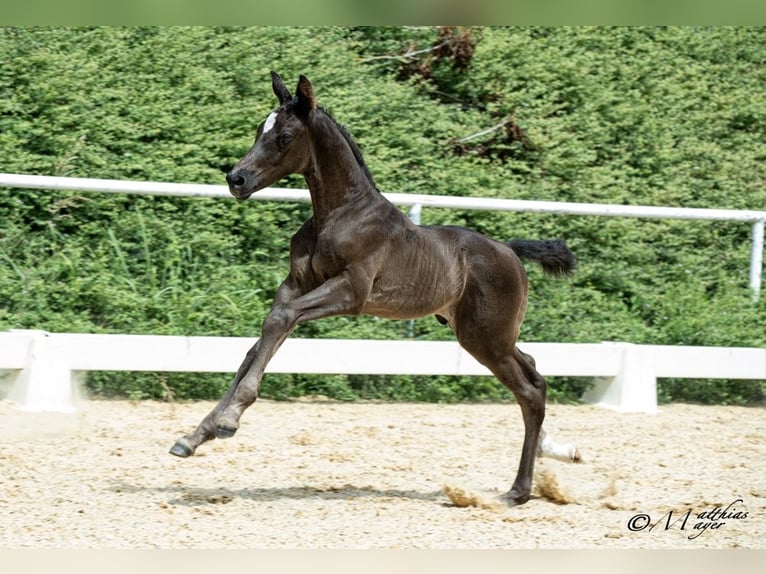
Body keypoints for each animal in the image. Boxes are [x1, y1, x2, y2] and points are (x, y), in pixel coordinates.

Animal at [170, 72, 581, 507]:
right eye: (257, 131)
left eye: (284, 136)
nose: (237, 179)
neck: (339, 214)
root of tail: (510, 251)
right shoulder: (295, 285)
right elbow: (259, 342)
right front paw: (195, 436)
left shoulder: (351, 292)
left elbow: (279, 320)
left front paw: (229, 420)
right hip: (484, 334)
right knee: (534, 374)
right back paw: (551, 454)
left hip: (485, 337)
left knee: (530, 390)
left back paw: (517, 491)